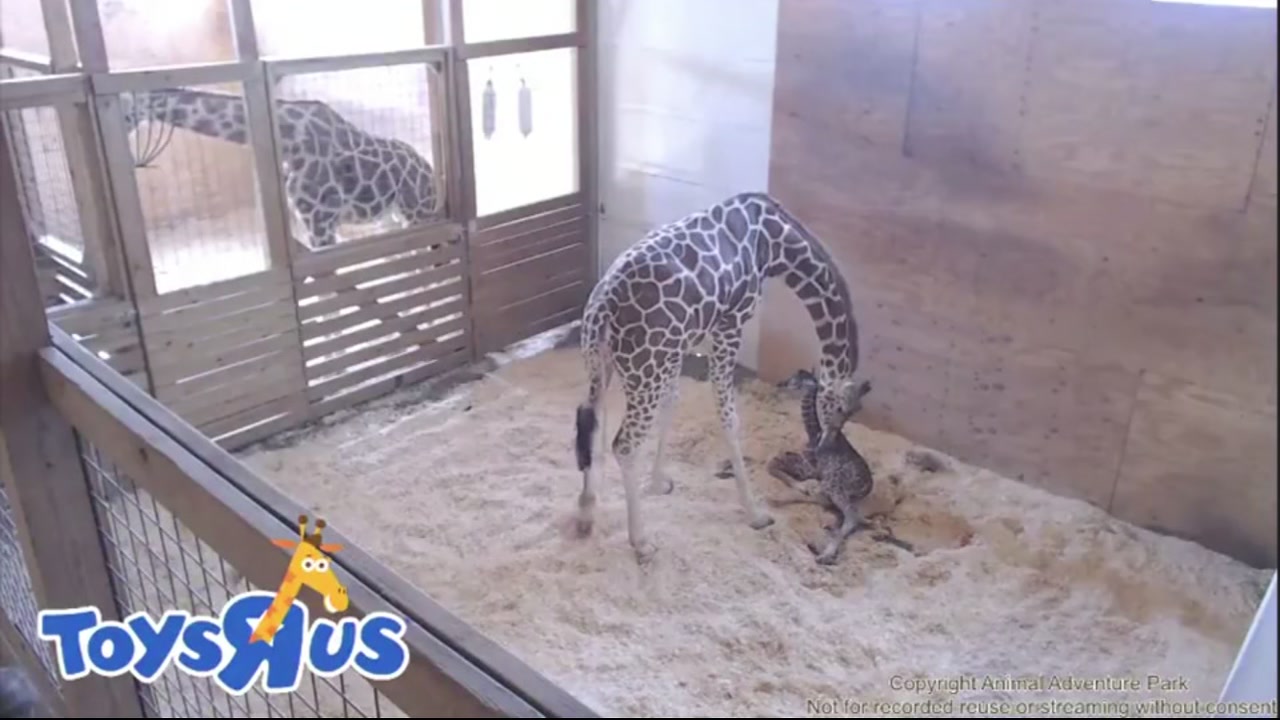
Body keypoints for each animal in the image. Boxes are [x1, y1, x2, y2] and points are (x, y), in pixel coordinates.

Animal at [116, 87, 443, 251]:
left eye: (123, 110)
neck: (289, 138)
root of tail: (429, 170)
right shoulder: (304, 219)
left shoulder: (321, 221)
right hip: (392, 218)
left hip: (417, 213)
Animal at [572, 191, 865, 563]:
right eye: (840, 409)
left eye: (851, 413)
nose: (827, 445)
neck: (775, 242)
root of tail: (602, 307)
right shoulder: (730, 325)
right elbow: (729, 418)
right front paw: (755, 513)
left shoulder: (679, 345)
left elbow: (673, 403)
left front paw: (658, 483)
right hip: (643, 369)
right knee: (624, 445)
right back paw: (641, 541)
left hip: (605, 363)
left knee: (593, 419)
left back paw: (586, 513)